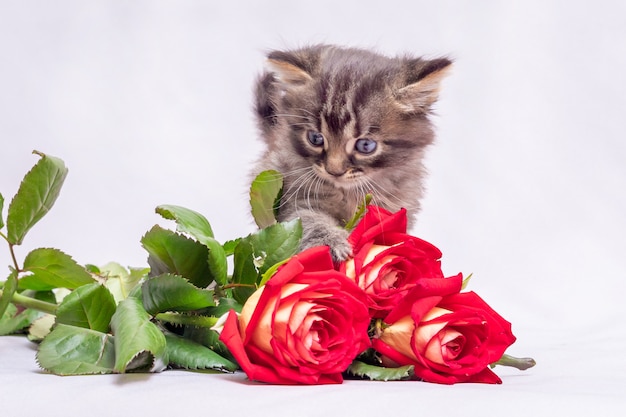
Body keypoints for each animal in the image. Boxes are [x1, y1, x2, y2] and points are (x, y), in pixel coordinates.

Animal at [249, 45, 448, 260]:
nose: (333, 171)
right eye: (315, 138)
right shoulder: (294, 195)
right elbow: (308, 219)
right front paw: (331, 243)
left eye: (365, 145)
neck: (348, 192)